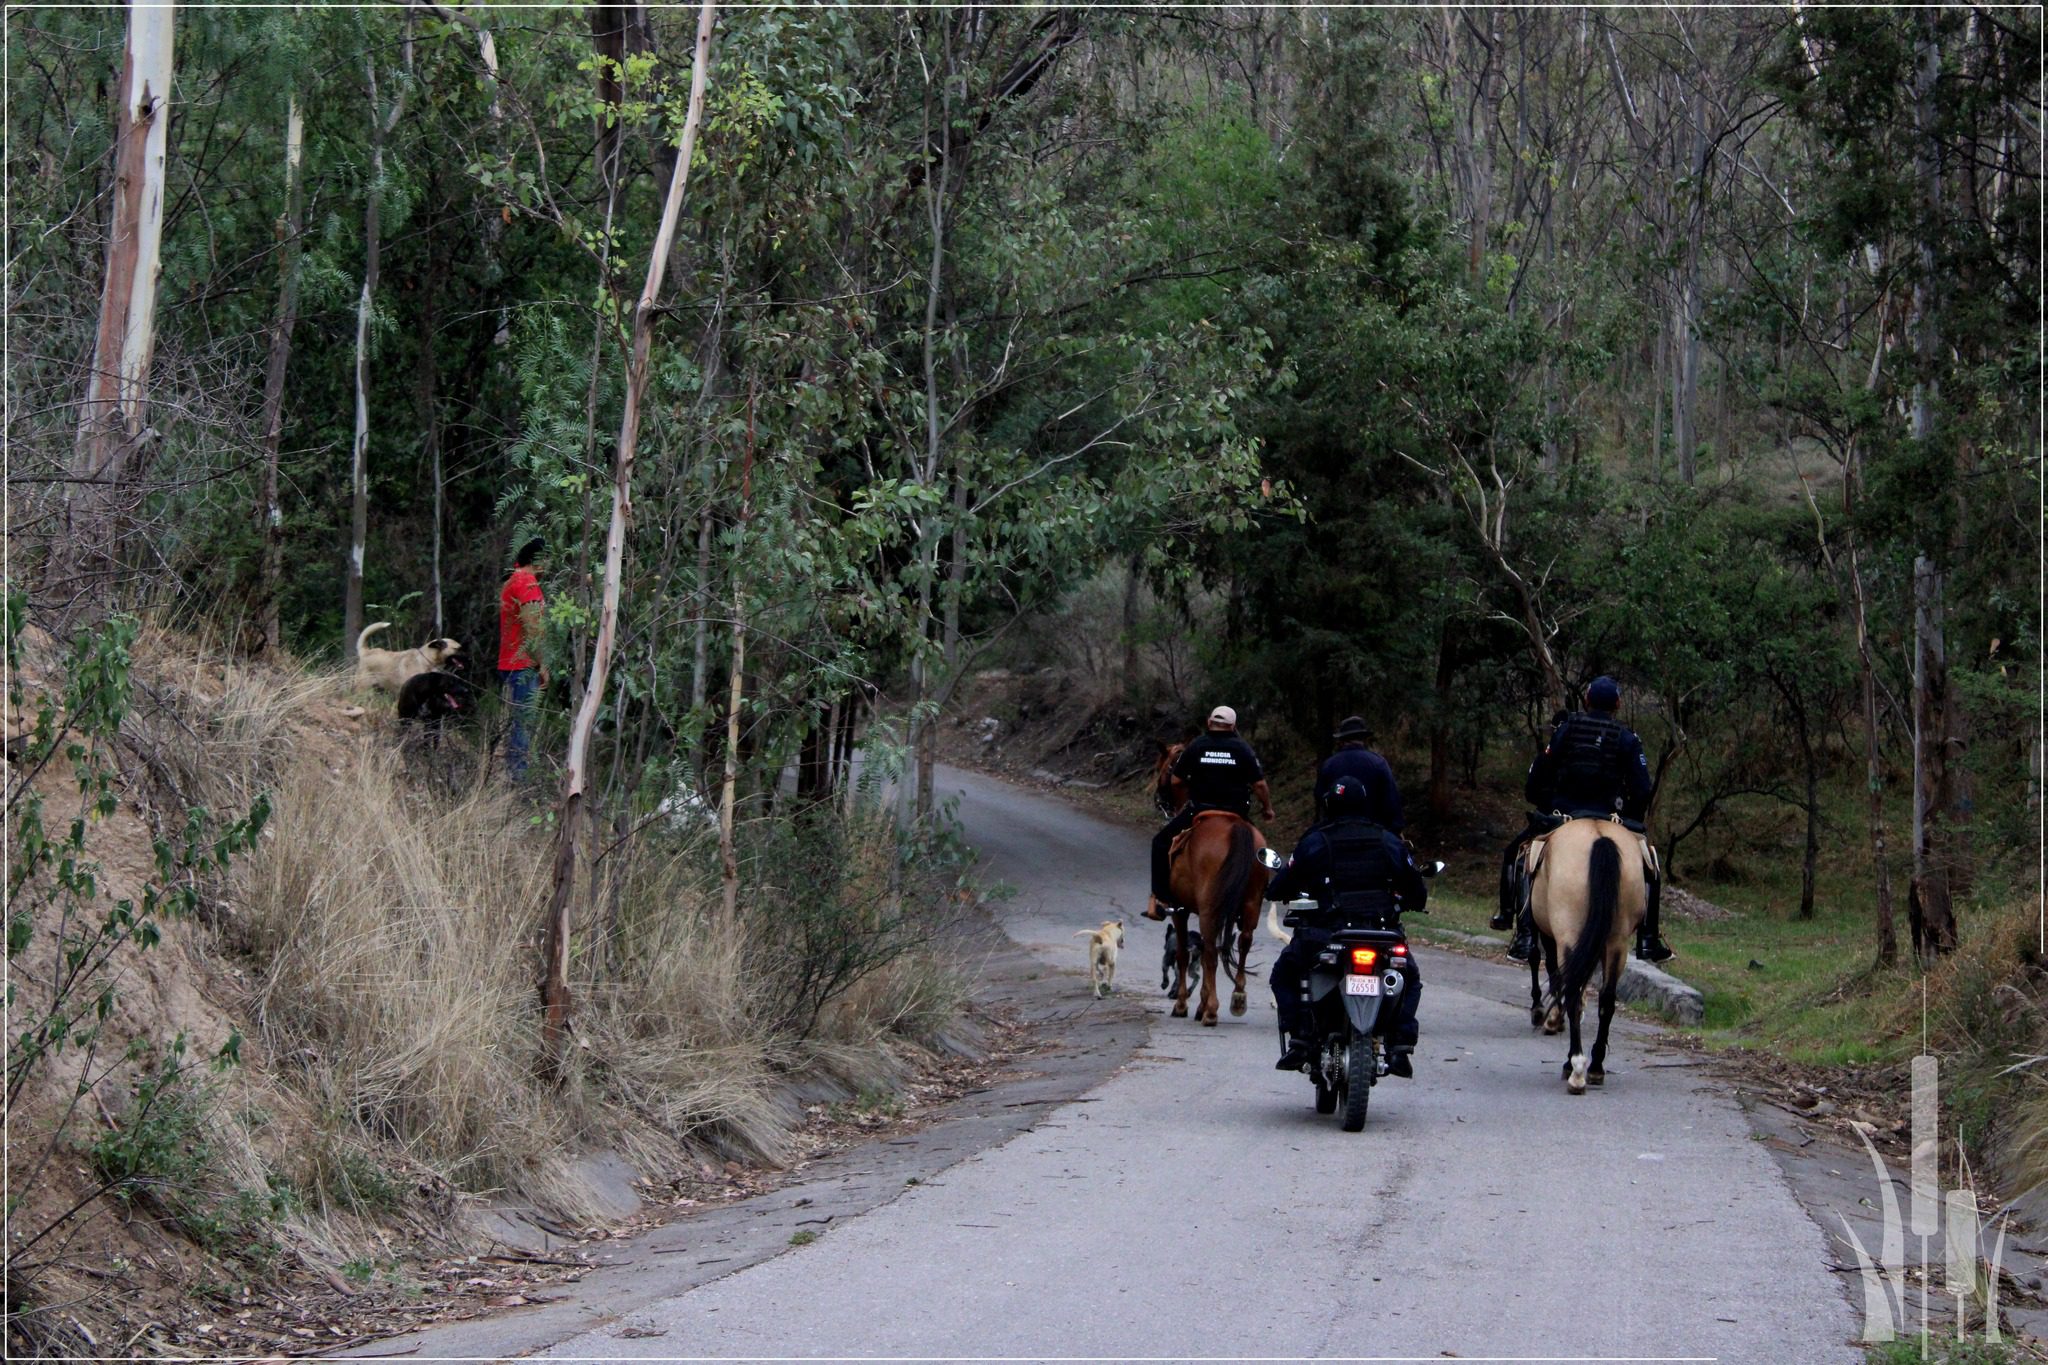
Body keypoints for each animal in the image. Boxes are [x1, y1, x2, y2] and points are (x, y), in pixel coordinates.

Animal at [1171, 810, 1261, 1023]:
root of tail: (1236, 825)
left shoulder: (1180, 911)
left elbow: (1183, 954)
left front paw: (1182, 1005)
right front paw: (1200, 1005)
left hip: (1208, 910)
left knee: (1211, 954)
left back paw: (1211, 1011)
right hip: (1252, 902)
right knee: (1244, 942)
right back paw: (1238, 997)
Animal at [1531, 818, 1654, 1096]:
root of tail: (1600, 837)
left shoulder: (1549, 936)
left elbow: (1548, 970)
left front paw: (1549, 1018)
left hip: (1569, 932)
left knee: (1572, 992)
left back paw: (1575, 1068)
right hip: (1617, 941)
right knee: (1607, 999)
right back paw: (1596, 1067)